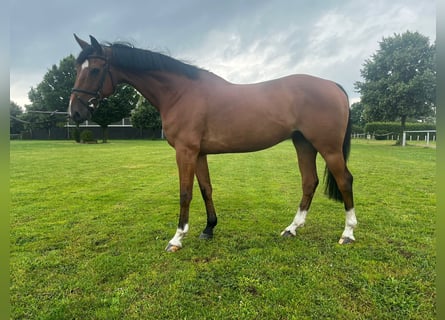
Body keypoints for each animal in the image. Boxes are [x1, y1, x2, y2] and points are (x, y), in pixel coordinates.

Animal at [67, 34, 356, 250]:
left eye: (95, 69)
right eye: (76, 69)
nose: (75, 112)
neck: (180, 92)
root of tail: (333, 85)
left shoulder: (185, 152)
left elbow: (185, 193)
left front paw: (177, 238)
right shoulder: (199, 153)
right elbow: (206, 188)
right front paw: (209, 229)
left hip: (328, 148)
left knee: (344, 181)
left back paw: (348, 233)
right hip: (303, 143)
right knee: (309, 182)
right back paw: (292, 229)